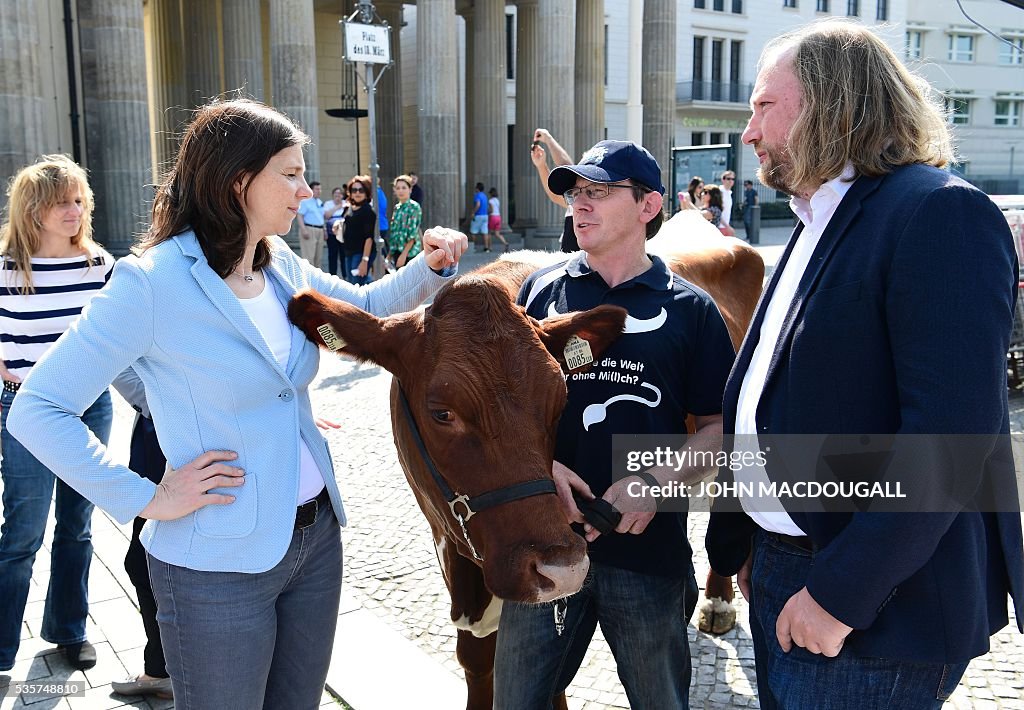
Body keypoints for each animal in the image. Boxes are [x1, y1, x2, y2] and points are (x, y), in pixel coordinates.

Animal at [288, 231, 761, 704]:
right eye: (442, 412)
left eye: (560, 399)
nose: (562, 569)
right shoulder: (450, 549)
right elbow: (479, 659)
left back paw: (719, 600)